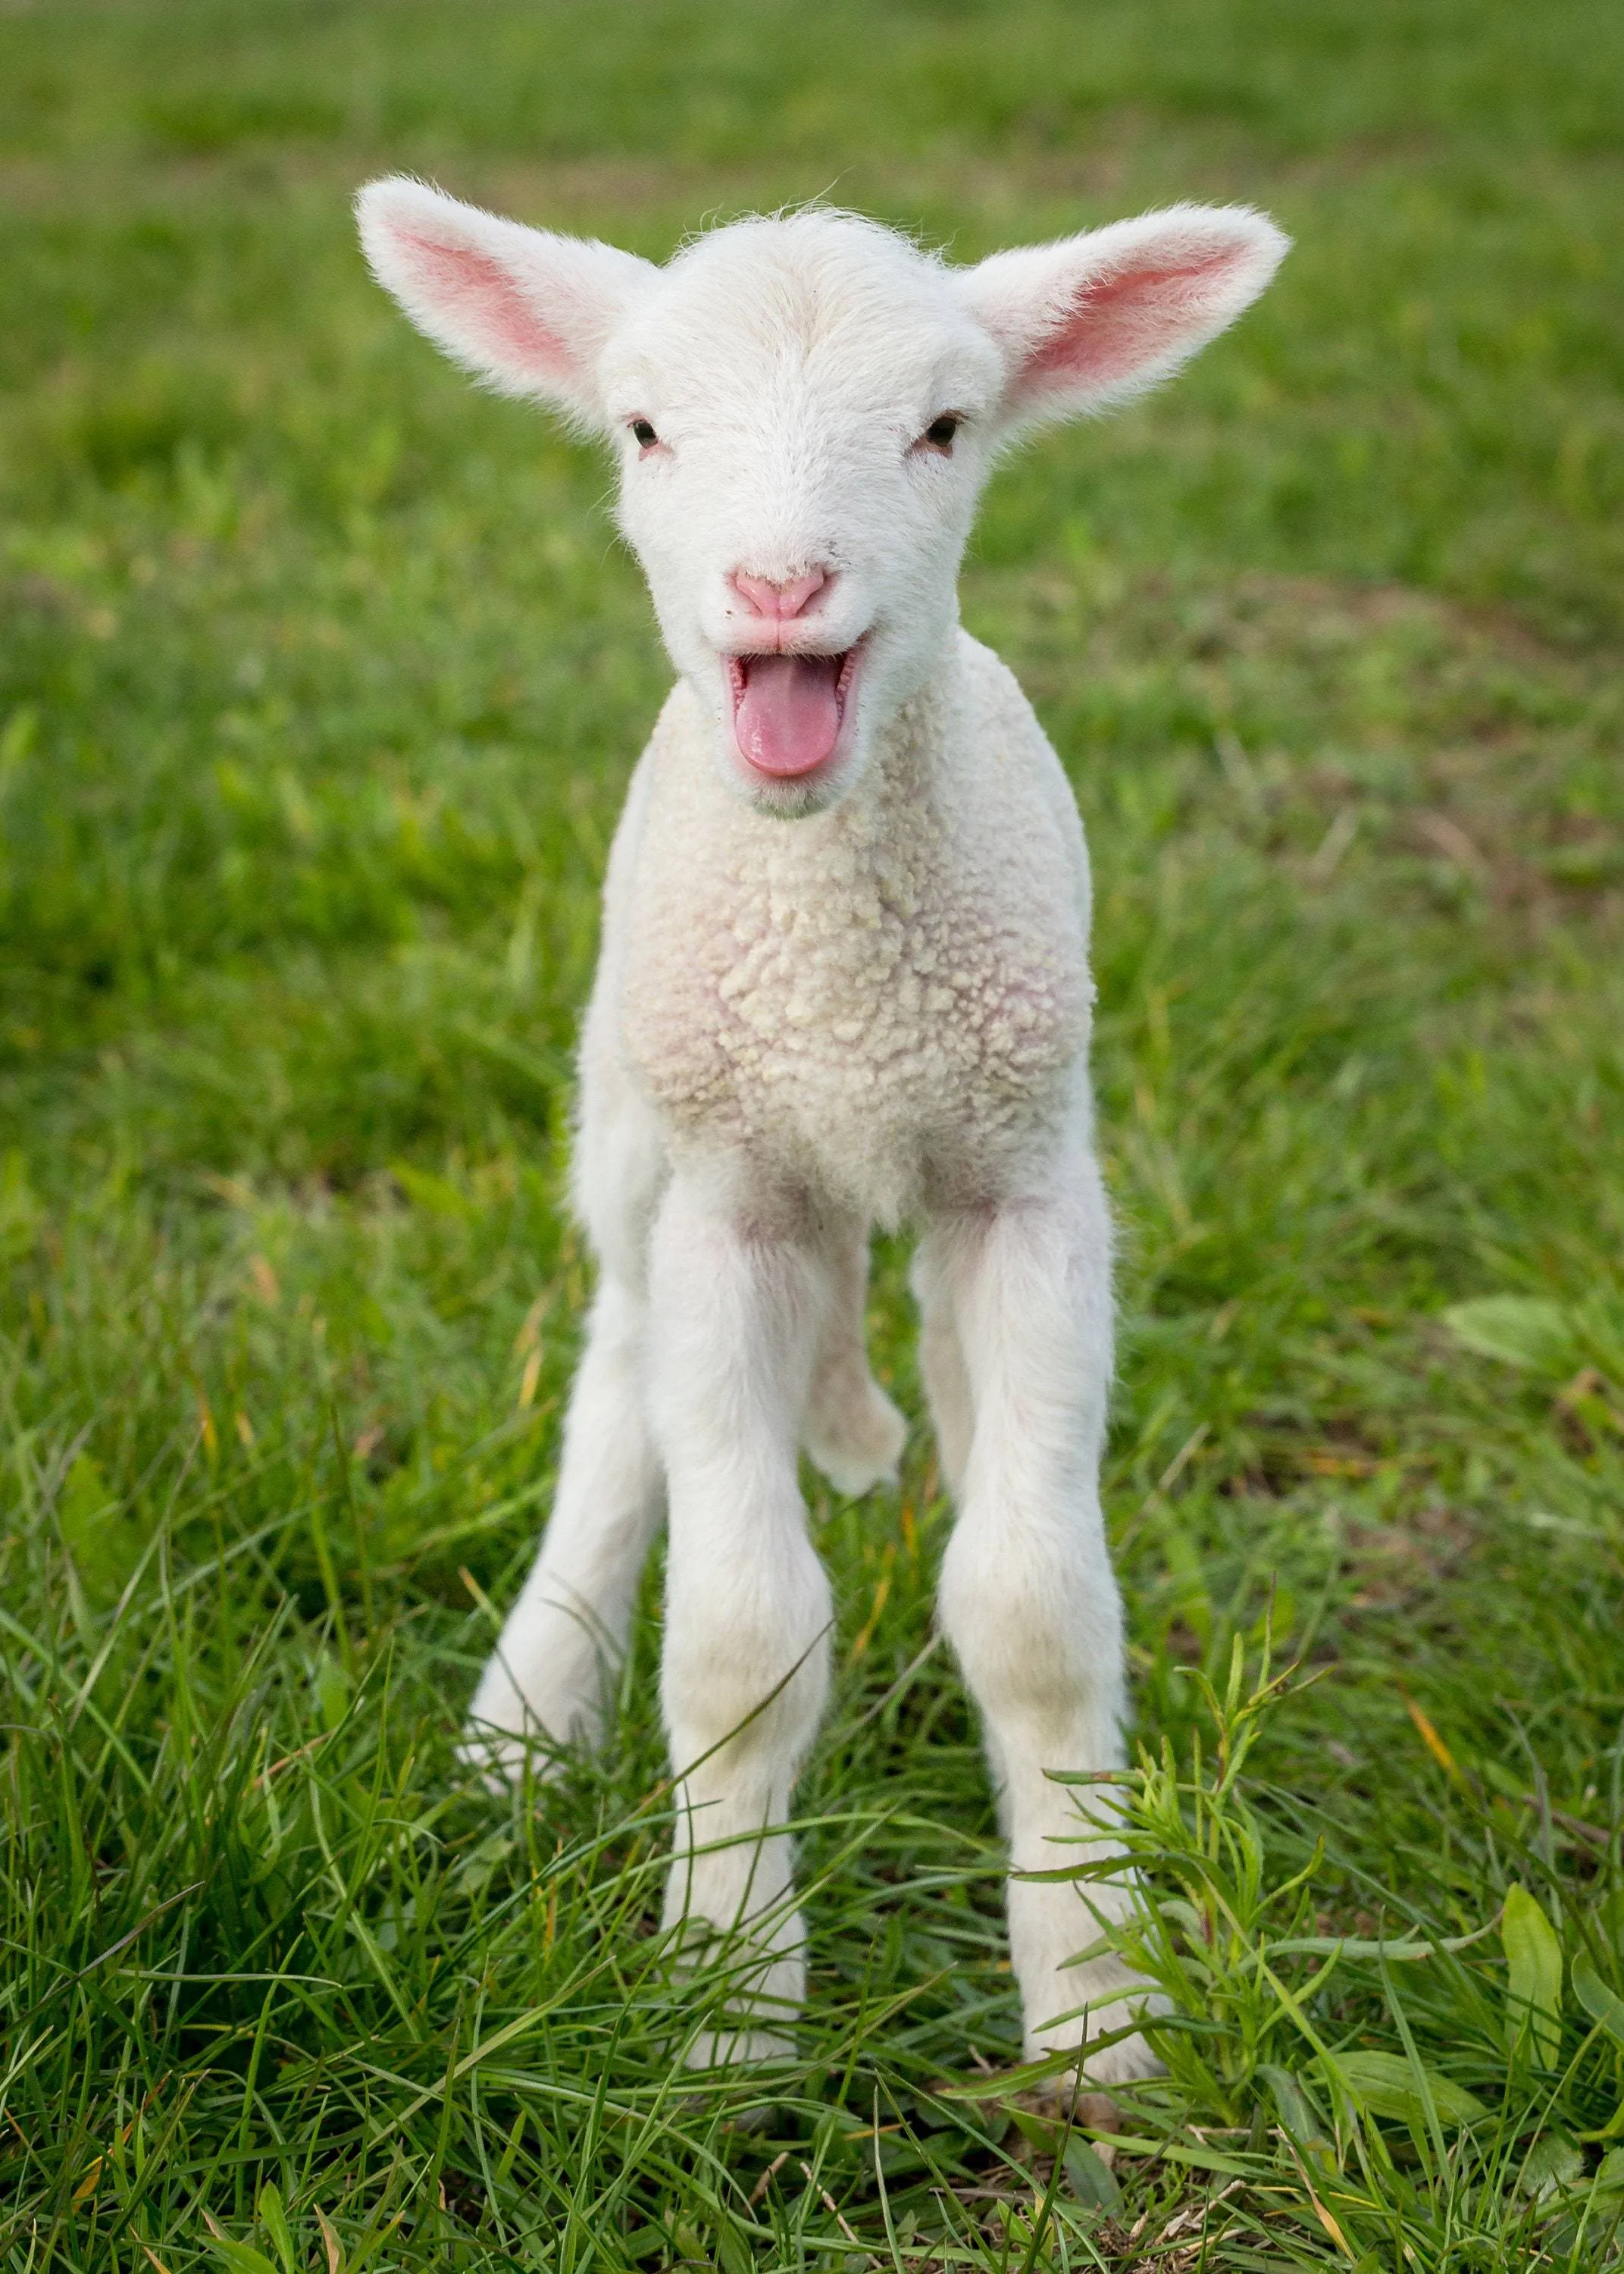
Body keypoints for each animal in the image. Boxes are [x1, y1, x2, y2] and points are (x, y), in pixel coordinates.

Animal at [357, 182, 1291, 2083]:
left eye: (943, 430)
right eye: (644, 430)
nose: (779, 590)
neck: (844, 1005)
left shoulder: (1028, 1194)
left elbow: (1033, 1610)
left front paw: (1096, 2000)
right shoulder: (734, 1206)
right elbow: (738, 1635)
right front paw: (724, 2013)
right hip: (632, 1129)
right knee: (616, 1384)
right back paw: (523, 1729)